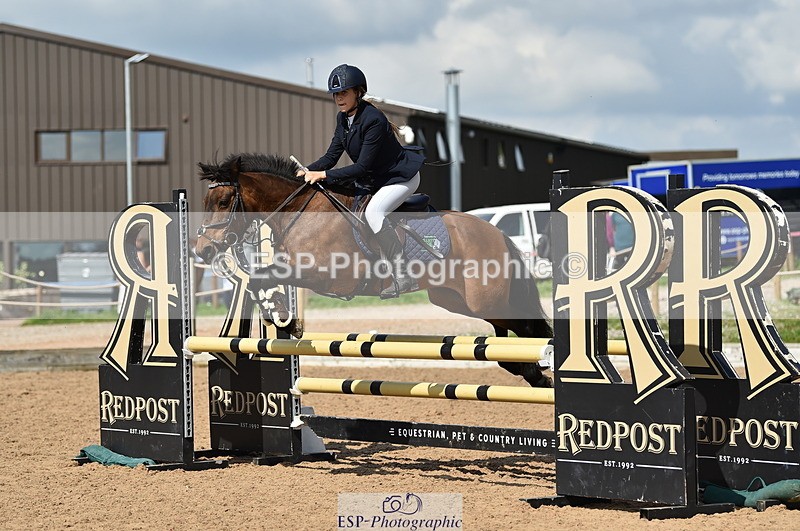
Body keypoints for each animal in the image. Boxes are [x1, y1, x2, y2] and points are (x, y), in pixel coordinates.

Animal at [195, 153, 553, 387]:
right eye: (207, 202)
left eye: (224, 202)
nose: (202, 250)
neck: (299, 211)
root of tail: (497, 233)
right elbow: (261, 279)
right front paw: (283, 317)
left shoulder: (325, 275)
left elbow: (263, 276)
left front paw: (287, 319)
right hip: (459, 301)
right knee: (509, 341)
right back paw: (533, 374)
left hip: (486, 301)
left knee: (528, 328)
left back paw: (543, 370)